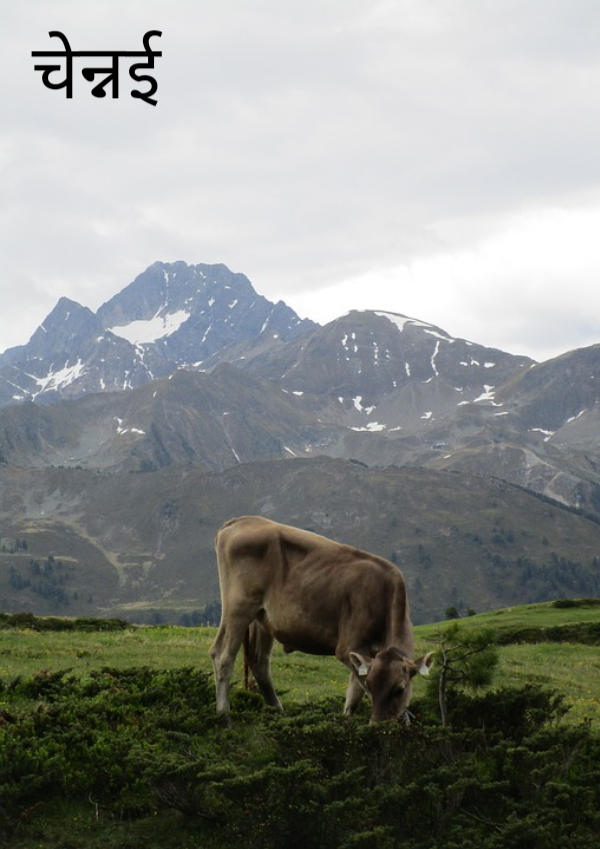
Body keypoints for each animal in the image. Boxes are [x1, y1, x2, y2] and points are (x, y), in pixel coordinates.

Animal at [209, 516, 432, 725]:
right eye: (371, 684)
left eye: (400, 689)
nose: (378, 725)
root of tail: (241, 521)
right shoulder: (349, 646)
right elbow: (358, 691)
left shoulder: (363, 654)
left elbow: (353, 693)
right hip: (238, 606)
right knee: (222, 655)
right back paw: (224, 716)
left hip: (262, 618)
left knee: (259, 661)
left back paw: (278, 712)